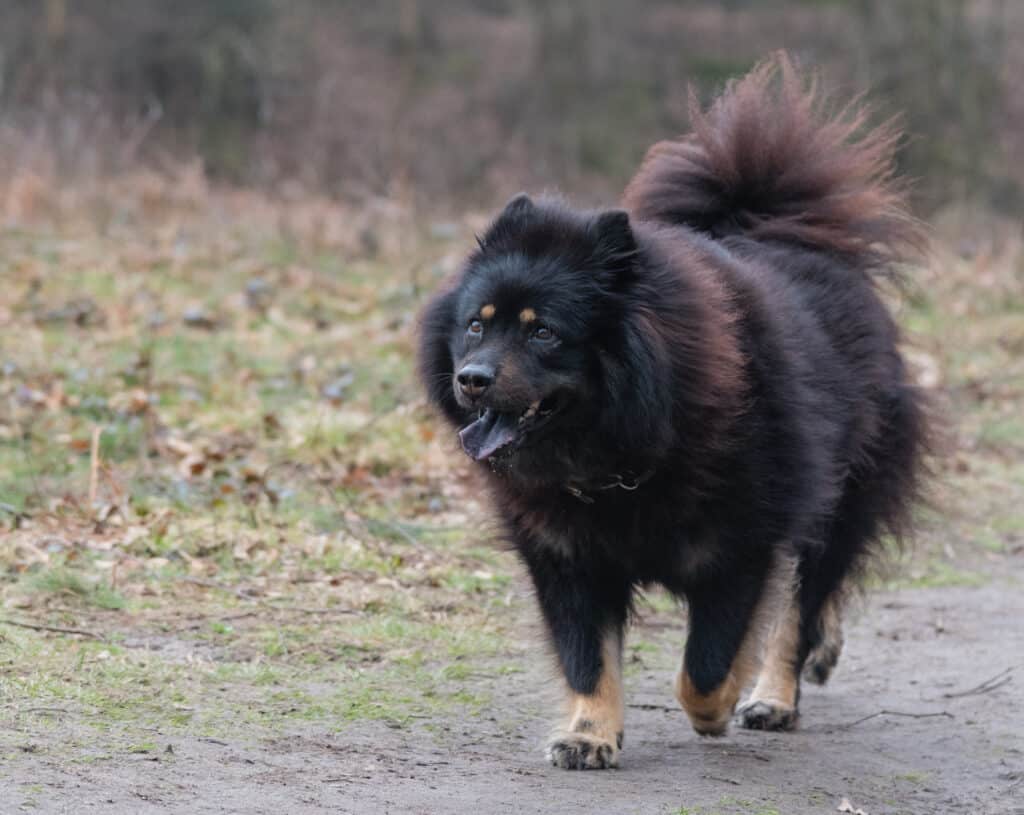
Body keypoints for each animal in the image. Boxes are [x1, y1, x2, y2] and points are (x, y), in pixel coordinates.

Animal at [413, 57, 929, 769]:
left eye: (543, 333)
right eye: (475, 326)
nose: (471, 380)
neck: (617, 456)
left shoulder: (740, 545)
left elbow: (706, 668)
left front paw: (722, 703)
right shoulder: (567, 554)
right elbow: (587, 657)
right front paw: (589, 735)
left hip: (841, 495)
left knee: (803, 604)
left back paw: (774, 695)